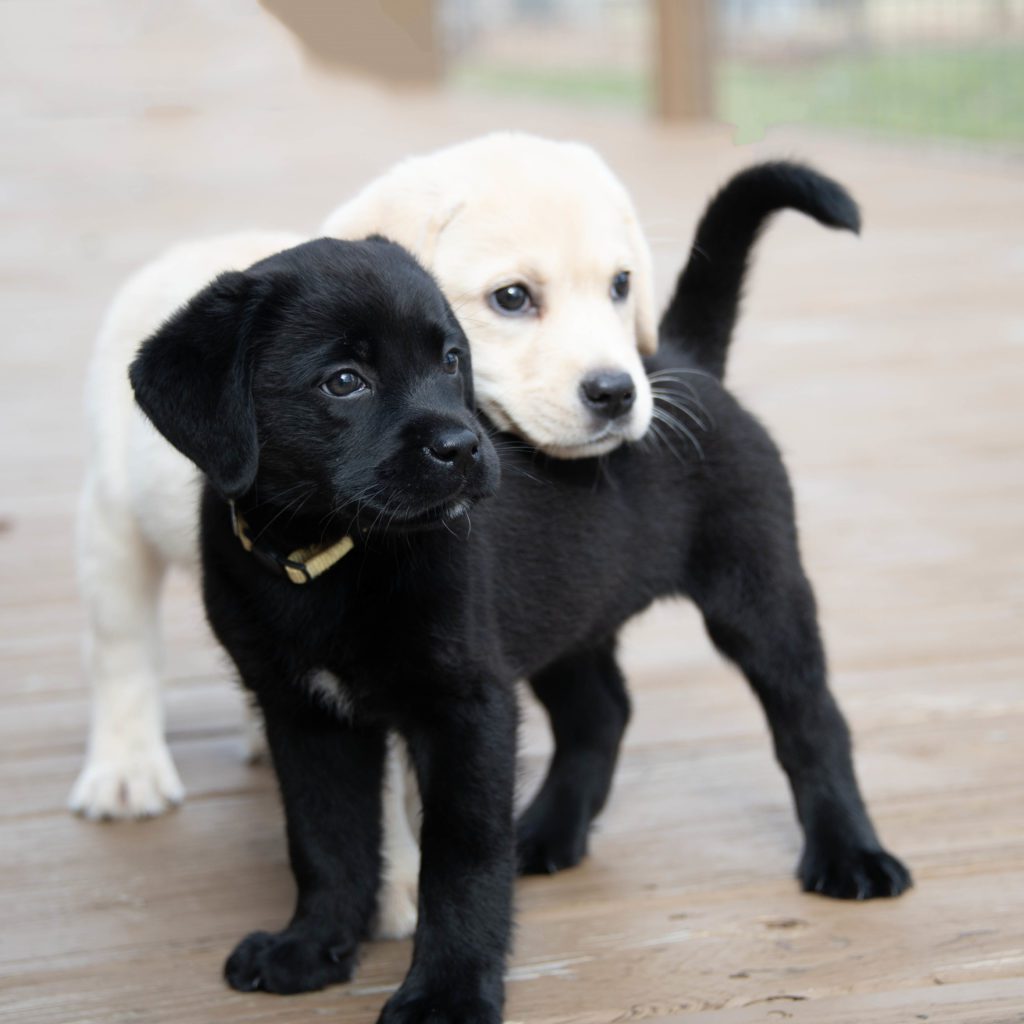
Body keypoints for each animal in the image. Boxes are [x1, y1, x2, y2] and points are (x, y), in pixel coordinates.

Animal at [134, 235, 520, 1019]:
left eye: (451, 360)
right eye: (344, 382)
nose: (464, 447)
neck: (325, 556)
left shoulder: (468, 705)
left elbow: (463, 852)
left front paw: (450, 989)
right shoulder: (302, 714)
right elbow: (325, 837)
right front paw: (312, 946)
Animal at [520, 159, 913, 897]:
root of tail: (682, 360)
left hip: (760, 596)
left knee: (811, 720)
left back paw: (850, 853)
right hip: (572, 620)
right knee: (600, 714)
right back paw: (548, 831)